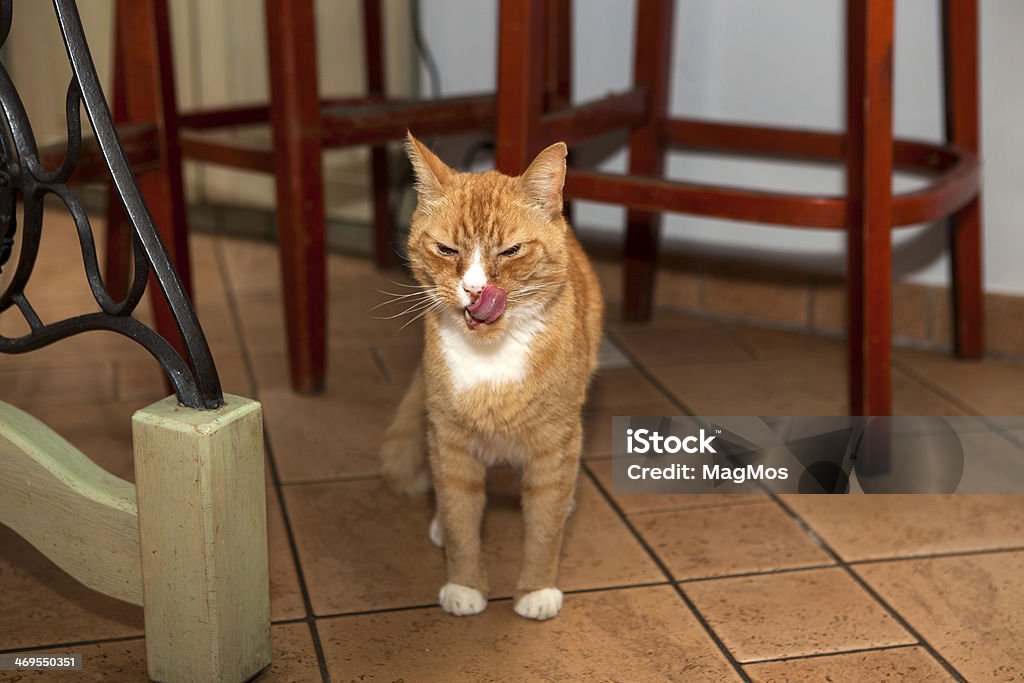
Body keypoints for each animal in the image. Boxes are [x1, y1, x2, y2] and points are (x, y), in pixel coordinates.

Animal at [380, 132, 602, 618]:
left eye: (510, 251)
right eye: (447, 250)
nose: (476, 289)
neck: (492, 358)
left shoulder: (555, 446)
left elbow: (544, 526)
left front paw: (536, 589)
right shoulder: (449, 442)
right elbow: (461, 519)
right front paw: (464, 584)